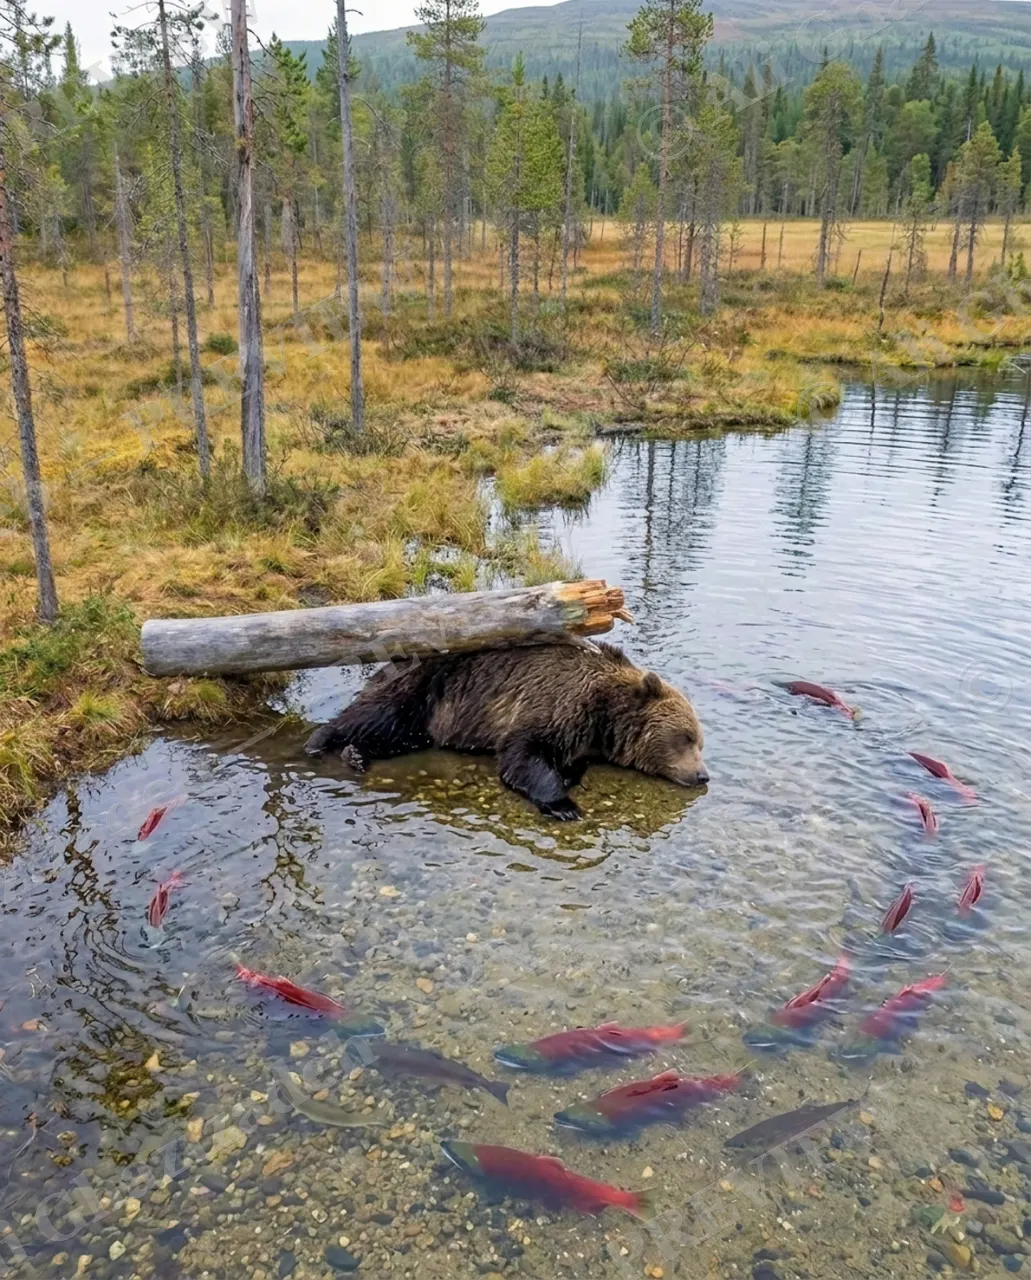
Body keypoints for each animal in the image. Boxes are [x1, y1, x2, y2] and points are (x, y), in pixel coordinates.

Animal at [304, 641, 707, 821]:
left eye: (700, 741)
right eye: (686, 737)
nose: (702, 774)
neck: (603, 715)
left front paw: (570, 779)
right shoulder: (553, 703)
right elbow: (523, 754)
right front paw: (565, 806)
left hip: (425, 721)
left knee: (397, 735)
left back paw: (357, 754)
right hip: (425, 688)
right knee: (376, 714)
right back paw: (321, 741)